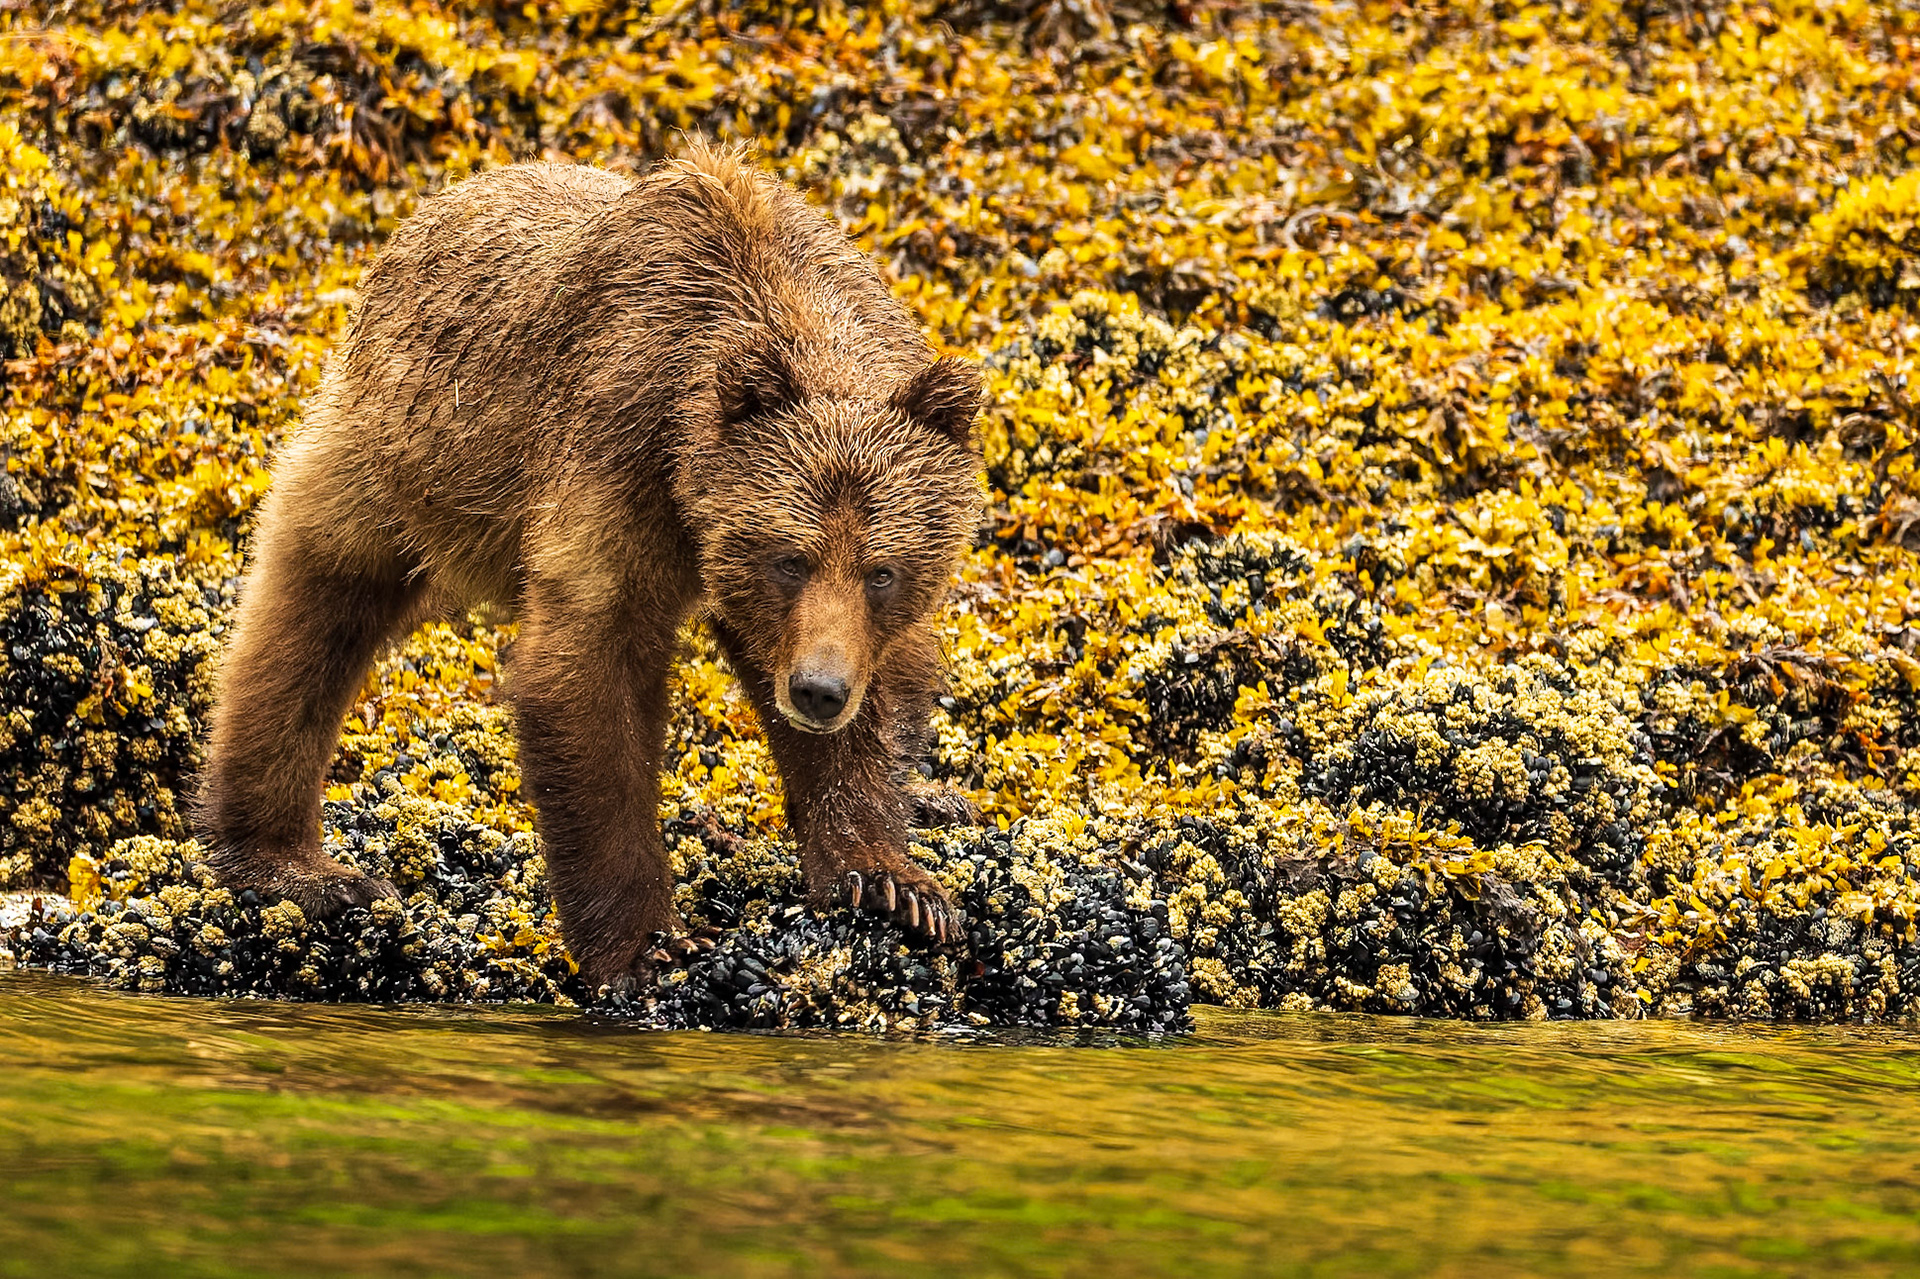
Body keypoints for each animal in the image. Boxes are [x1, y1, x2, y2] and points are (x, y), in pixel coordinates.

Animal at [196, 142, 984, 990]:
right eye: (788, 558)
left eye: (882, 570)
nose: (817, 688)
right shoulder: (618, 453)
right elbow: (588, 671)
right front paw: (650, 944)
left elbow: (876, 702)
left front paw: (893, 884)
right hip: (399, 452)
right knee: (310, 610)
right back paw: (294, 864)